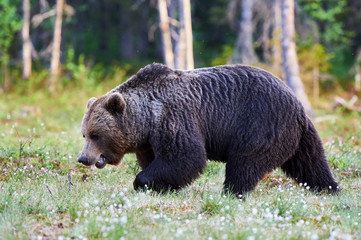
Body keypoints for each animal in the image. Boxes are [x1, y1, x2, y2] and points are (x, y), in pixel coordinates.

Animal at [78, 63, 338, 195]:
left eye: (96, 135)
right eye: (84, 134)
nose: (83, 158)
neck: (148, 119)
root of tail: (297, 104)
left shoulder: (175, 118)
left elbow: (186, 157)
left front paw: (143, 182)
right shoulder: (149, 141)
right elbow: (158, 161)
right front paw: (160, 186)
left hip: (260, 124)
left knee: (244, 164)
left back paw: (232, 192)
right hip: (298, 136)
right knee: (310, 162)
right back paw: (329, 187)